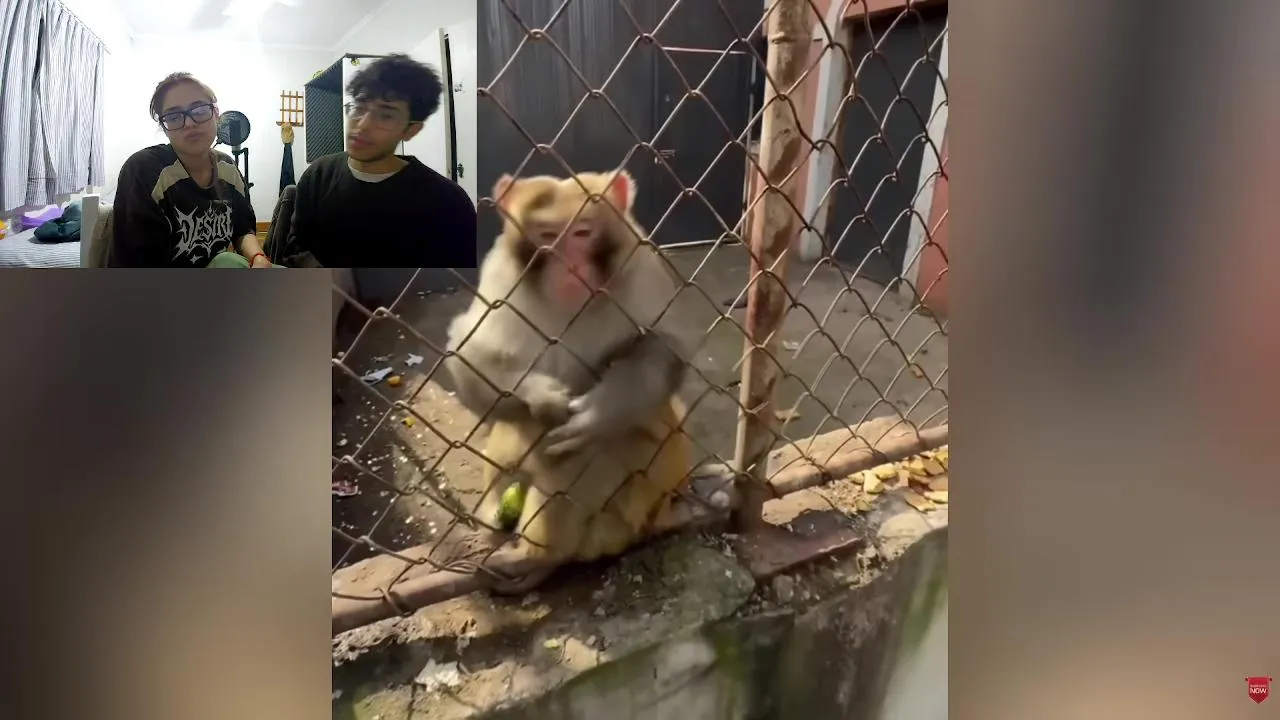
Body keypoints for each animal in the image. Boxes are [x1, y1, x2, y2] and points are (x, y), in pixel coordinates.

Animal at [443, 169, 692, 592]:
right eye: (547, 236)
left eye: (582, 233)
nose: (569, 266)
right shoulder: (502, 276)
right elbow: (470, 353)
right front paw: (541, 396)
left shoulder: (641, 265)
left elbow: (663, 347)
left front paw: (599, 414)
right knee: (517, 433)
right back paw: (499, 518)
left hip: (639, 498)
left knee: (588, 456)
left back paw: (542, 557)